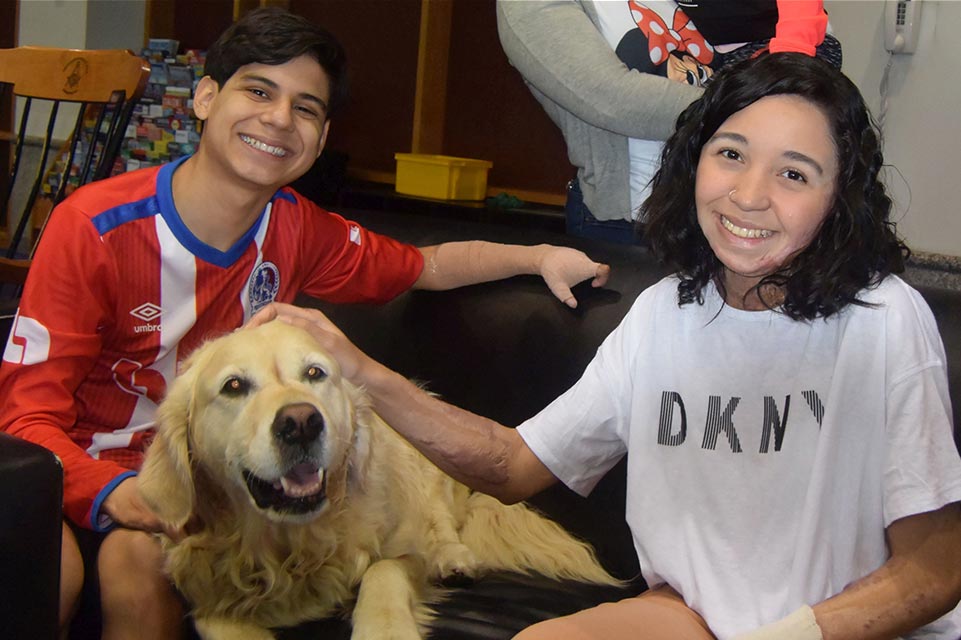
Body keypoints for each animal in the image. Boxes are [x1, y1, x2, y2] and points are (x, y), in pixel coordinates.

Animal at [139, 320, 620, 640]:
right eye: (234, 386)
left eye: (315, 373)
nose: (301, 422)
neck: (294, 547)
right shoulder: (205, 594)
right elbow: (221, 620)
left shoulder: (403, 549)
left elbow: (384, 570)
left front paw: (385, 628)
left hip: (428, 463)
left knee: (443, 523)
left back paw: (455, 558)